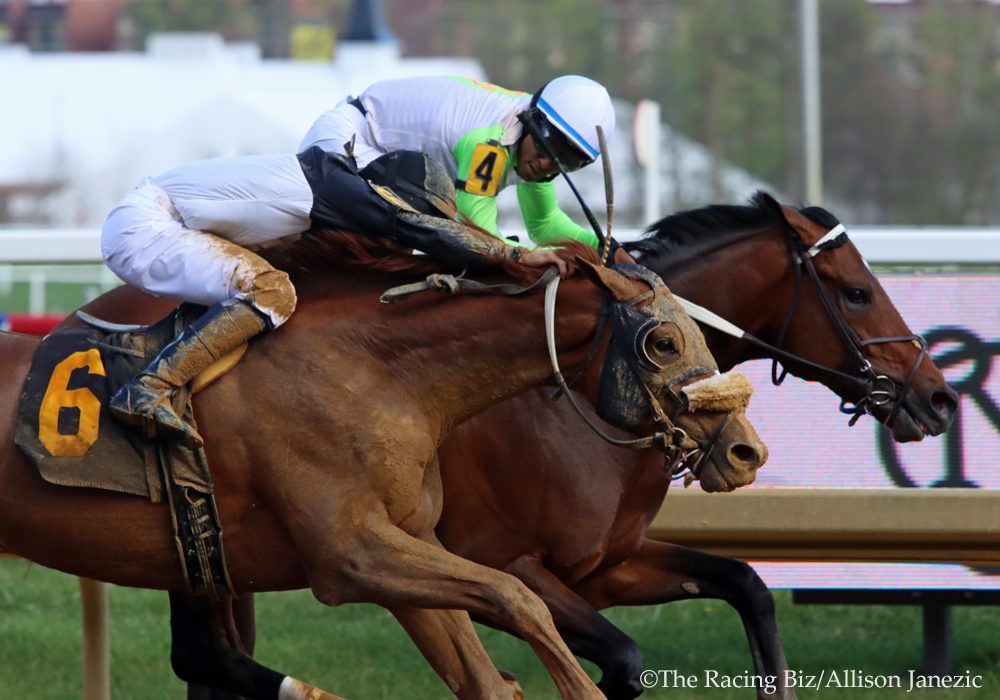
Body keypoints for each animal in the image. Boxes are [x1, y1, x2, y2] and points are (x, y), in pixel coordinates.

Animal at [1, 237, 764, 700]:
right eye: (664, 341)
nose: (746, 449)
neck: (377, 371)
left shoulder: (408, 544)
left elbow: (487, 672)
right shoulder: (351, 555)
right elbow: (518, 599)